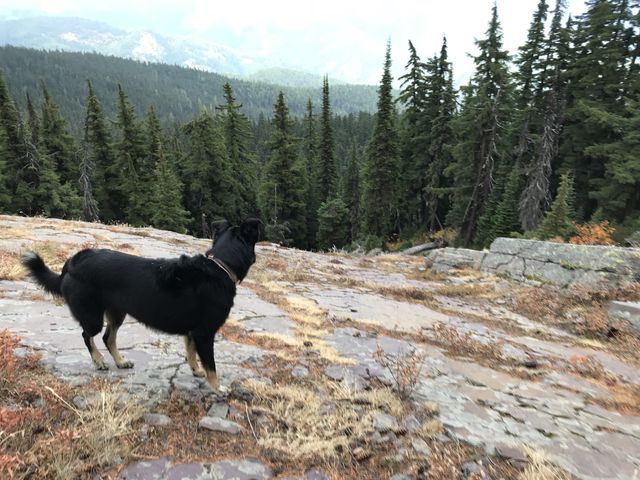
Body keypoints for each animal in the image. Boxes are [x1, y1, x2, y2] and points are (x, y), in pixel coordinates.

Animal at [21, 219, 260, 392]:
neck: (221, 265)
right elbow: (212, 367)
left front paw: (195, 371)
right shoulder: (204, 333)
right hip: (93, 315)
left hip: (117, 312)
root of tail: (72, 262)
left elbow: (191, 353)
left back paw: (120, 361)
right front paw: (218, 388)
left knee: (108, 338)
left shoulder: (192, 333)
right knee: (88, 336)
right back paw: (99, 361)